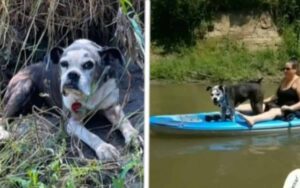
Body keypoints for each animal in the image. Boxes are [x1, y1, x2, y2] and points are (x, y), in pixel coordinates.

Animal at [1, 39, 142, 161]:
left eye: (88, 65)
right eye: (64, 64)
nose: (72, 74)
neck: (91, 93)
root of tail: (22, 69)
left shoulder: (112, 107)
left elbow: (125, 122)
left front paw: (134, 136)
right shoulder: (71, 123)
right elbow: (90, 135)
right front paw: (104, 148)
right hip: (24, 86)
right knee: (4, 116)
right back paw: (3, 134)